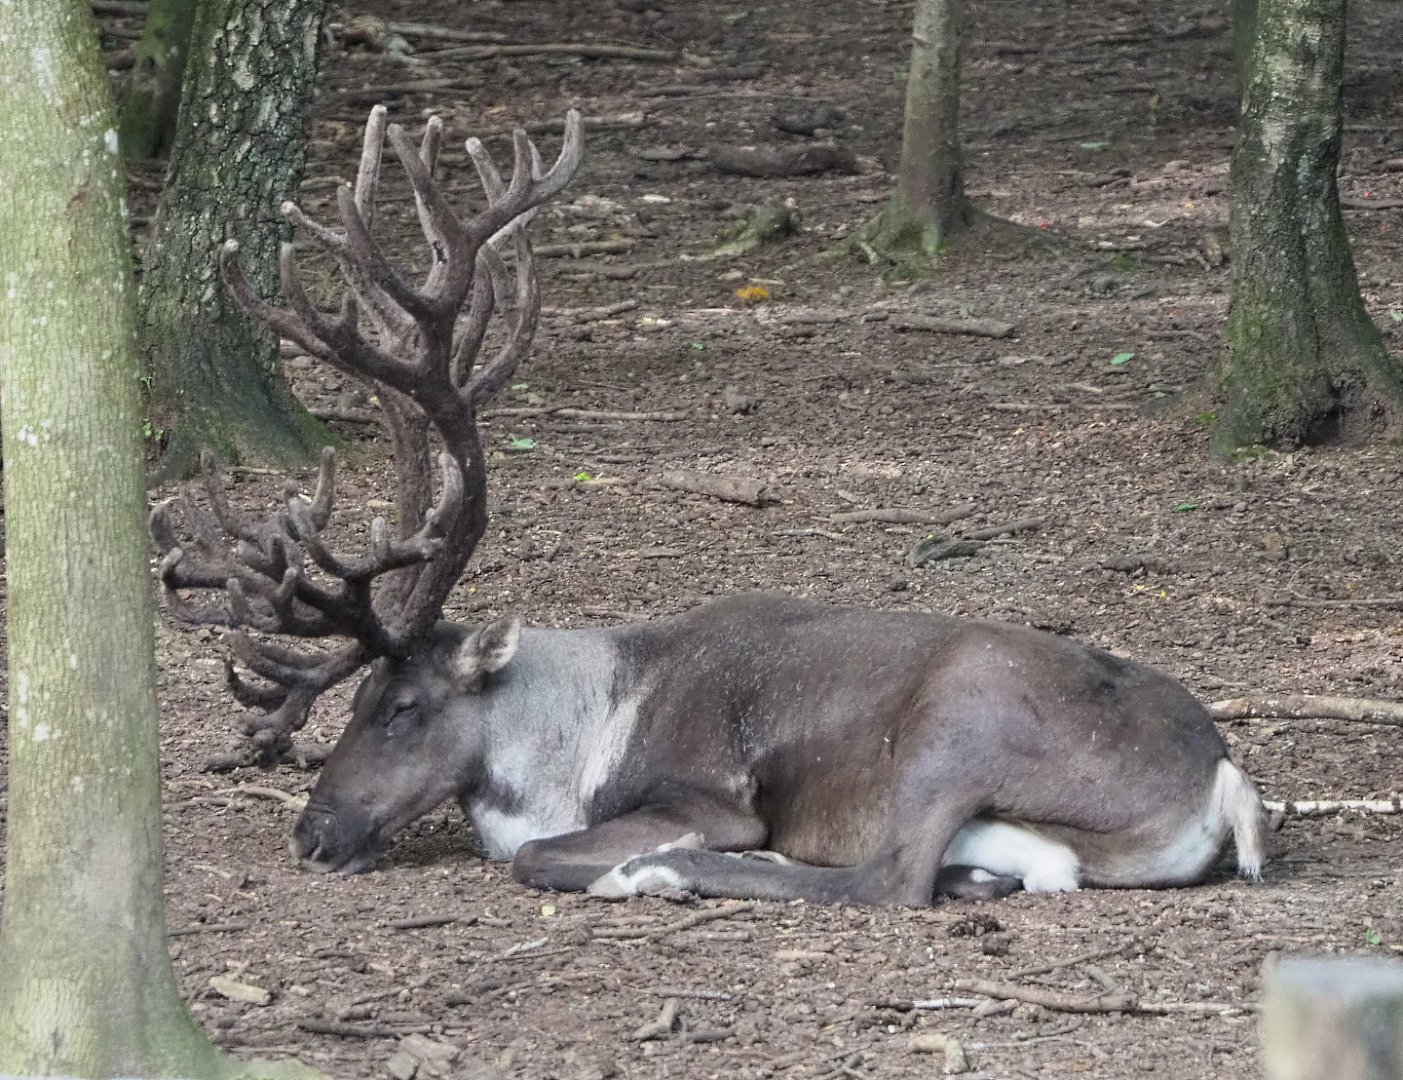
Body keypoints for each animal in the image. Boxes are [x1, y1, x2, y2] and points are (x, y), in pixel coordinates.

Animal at [152, 107, 1267, 908]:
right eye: (353, 704)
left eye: (402, 708)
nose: (311, 832)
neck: (573, 732)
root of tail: (1221, 782)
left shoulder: (703, 794)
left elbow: (538, 855)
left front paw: (630, 862)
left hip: (954, 725)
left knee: (888, 879)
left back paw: (671, 873)